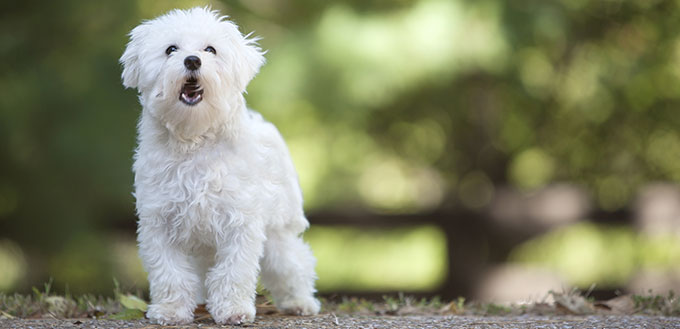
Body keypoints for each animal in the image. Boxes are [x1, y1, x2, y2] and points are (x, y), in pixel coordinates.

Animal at [120, 7, 322, 326]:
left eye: (210, 50)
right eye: (171, 49)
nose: (192, 60)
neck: (195, 139)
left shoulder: (239, 222)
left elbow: (234, 272)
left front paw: (233, 310)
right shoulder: (160, 222)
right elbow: (170, 273)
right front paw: (170, 311)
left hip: (279, 231)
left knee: (293, 263)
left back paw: (300, 302)